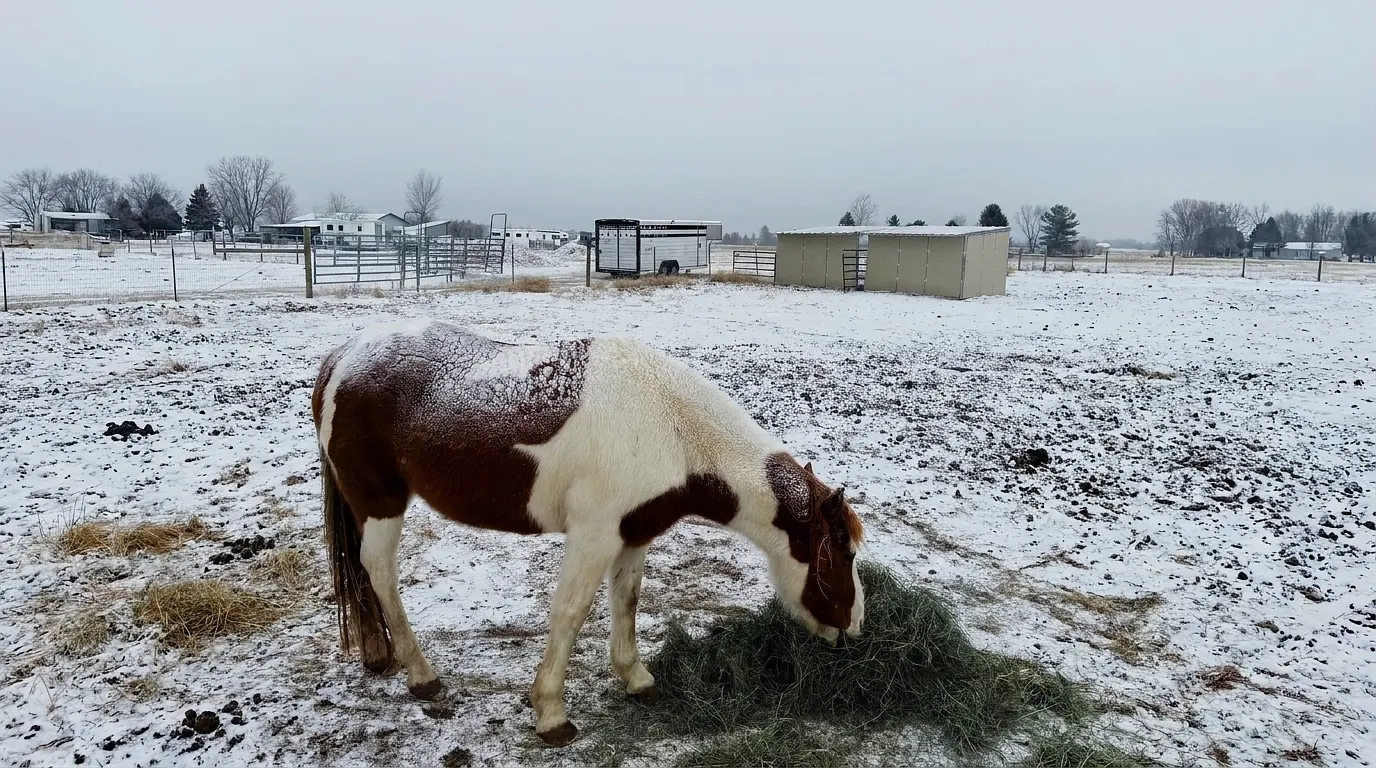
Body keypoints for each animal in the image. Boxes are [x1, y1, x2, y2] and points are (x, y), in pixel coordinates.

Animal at [311, 319, 865, 746]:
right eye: (844, 552)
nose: (855, 629)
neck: (671, 426)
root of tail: (343, 357)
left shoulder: (634, 533)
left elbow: (628, 602)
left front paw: (637, 680)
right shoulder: (593, 537)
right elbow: (571, 614)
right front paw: (551, 715)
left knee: (362, 575)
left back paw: (380, 658)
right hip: (381, 505)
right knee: (379, 573)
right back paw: (422, 677)